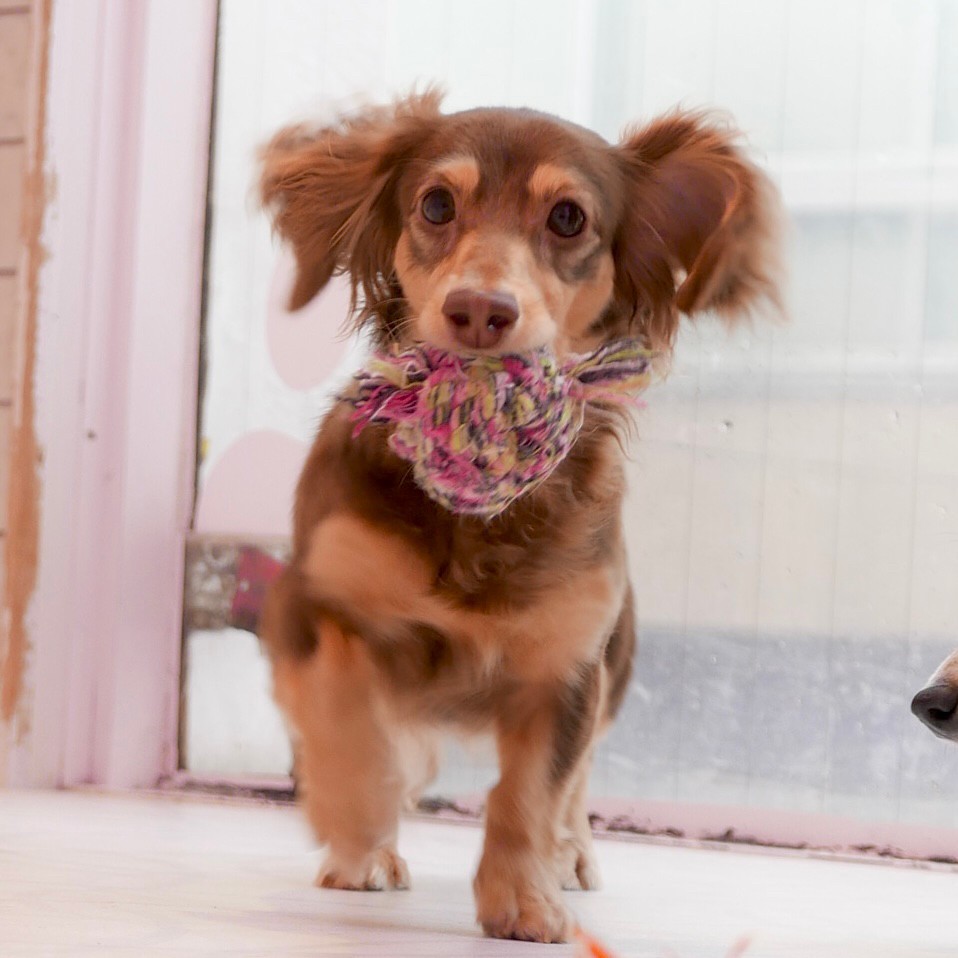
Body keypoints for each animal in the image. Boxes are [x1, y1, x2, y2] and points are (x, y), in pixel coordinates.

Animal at [258, 92, 784, 944]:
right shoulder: (310, 602)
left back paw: (570, 856)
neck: (482, 510)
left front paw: (525, 900)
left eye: (568, 218)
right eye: (436, 204)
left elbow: (533, 792)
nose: (479, 309)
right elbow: (346, 714)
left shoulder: (566, 667)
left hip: (616, 664)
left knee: (579, 780)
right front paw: (358, 826)